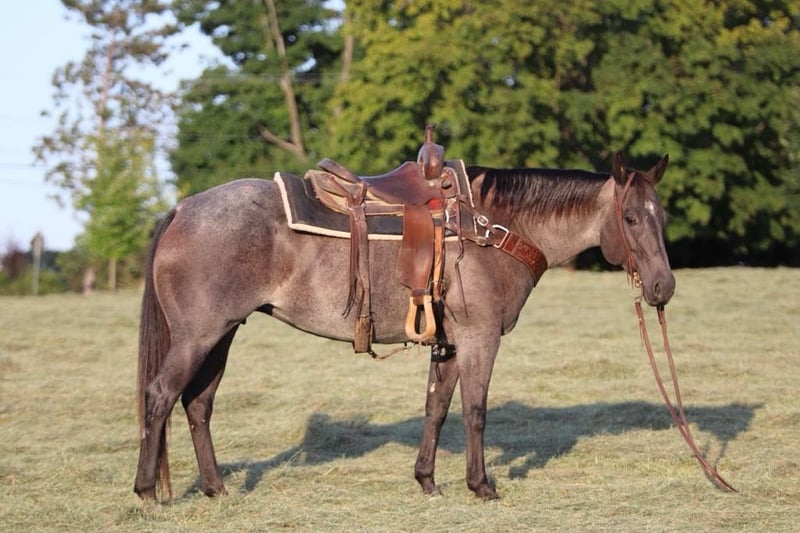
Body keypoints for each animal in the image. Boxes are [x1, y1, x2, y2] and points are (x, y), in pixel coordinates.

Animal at [133, 152, 675, 501]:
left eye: (662, 216)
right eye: (630, 217)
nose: (663, 287)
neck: (493, 227)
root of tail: (182, 207)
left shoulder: (450, 343)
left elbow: (437, 408)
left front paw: (427, 481)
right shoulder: (479, 338)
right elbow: (475, 411)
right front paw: (481, 486)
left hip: (222, 335)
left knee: (198, 404)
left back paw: (216, 488)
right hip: (198, 337)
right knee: (160, 396)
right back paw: (146, 490)